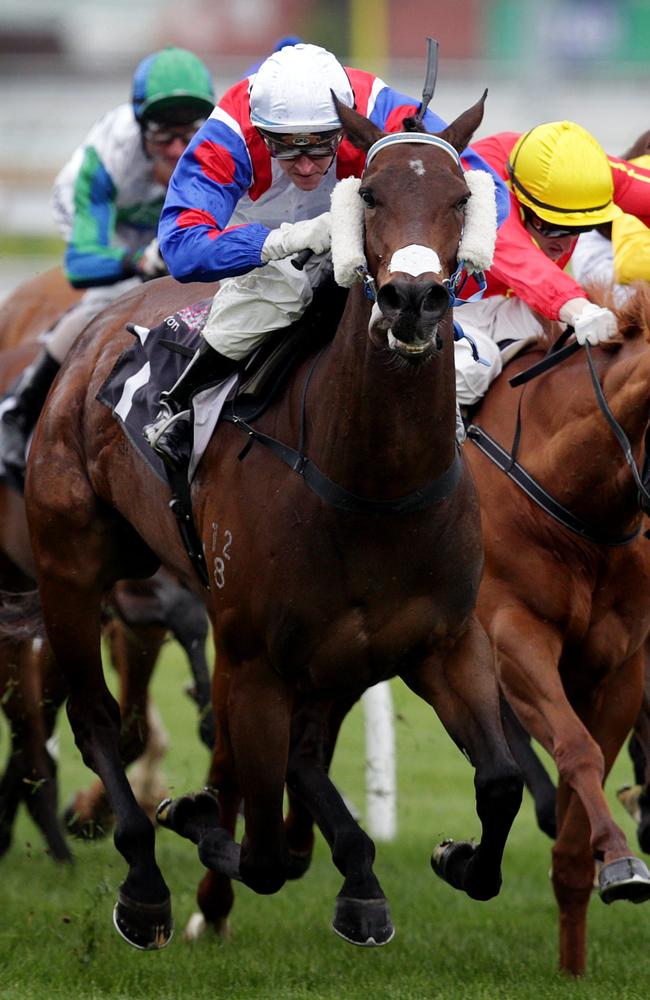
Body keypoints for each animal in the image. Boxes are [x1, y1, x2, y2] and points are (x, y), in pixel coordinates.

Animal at [22, 97, 524, 948]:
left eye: (461, 197)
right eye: (370, 195)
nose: (413, 301)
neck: (371, 485)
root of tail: (99, 328)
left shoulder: (443, 644)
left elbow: (500, 780)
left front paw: (452, 859)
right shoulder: (256, 661)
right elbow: (257, 851)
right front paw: (196, 822)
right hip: (71, 569)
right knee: (96, 719)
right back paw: (144, 883)